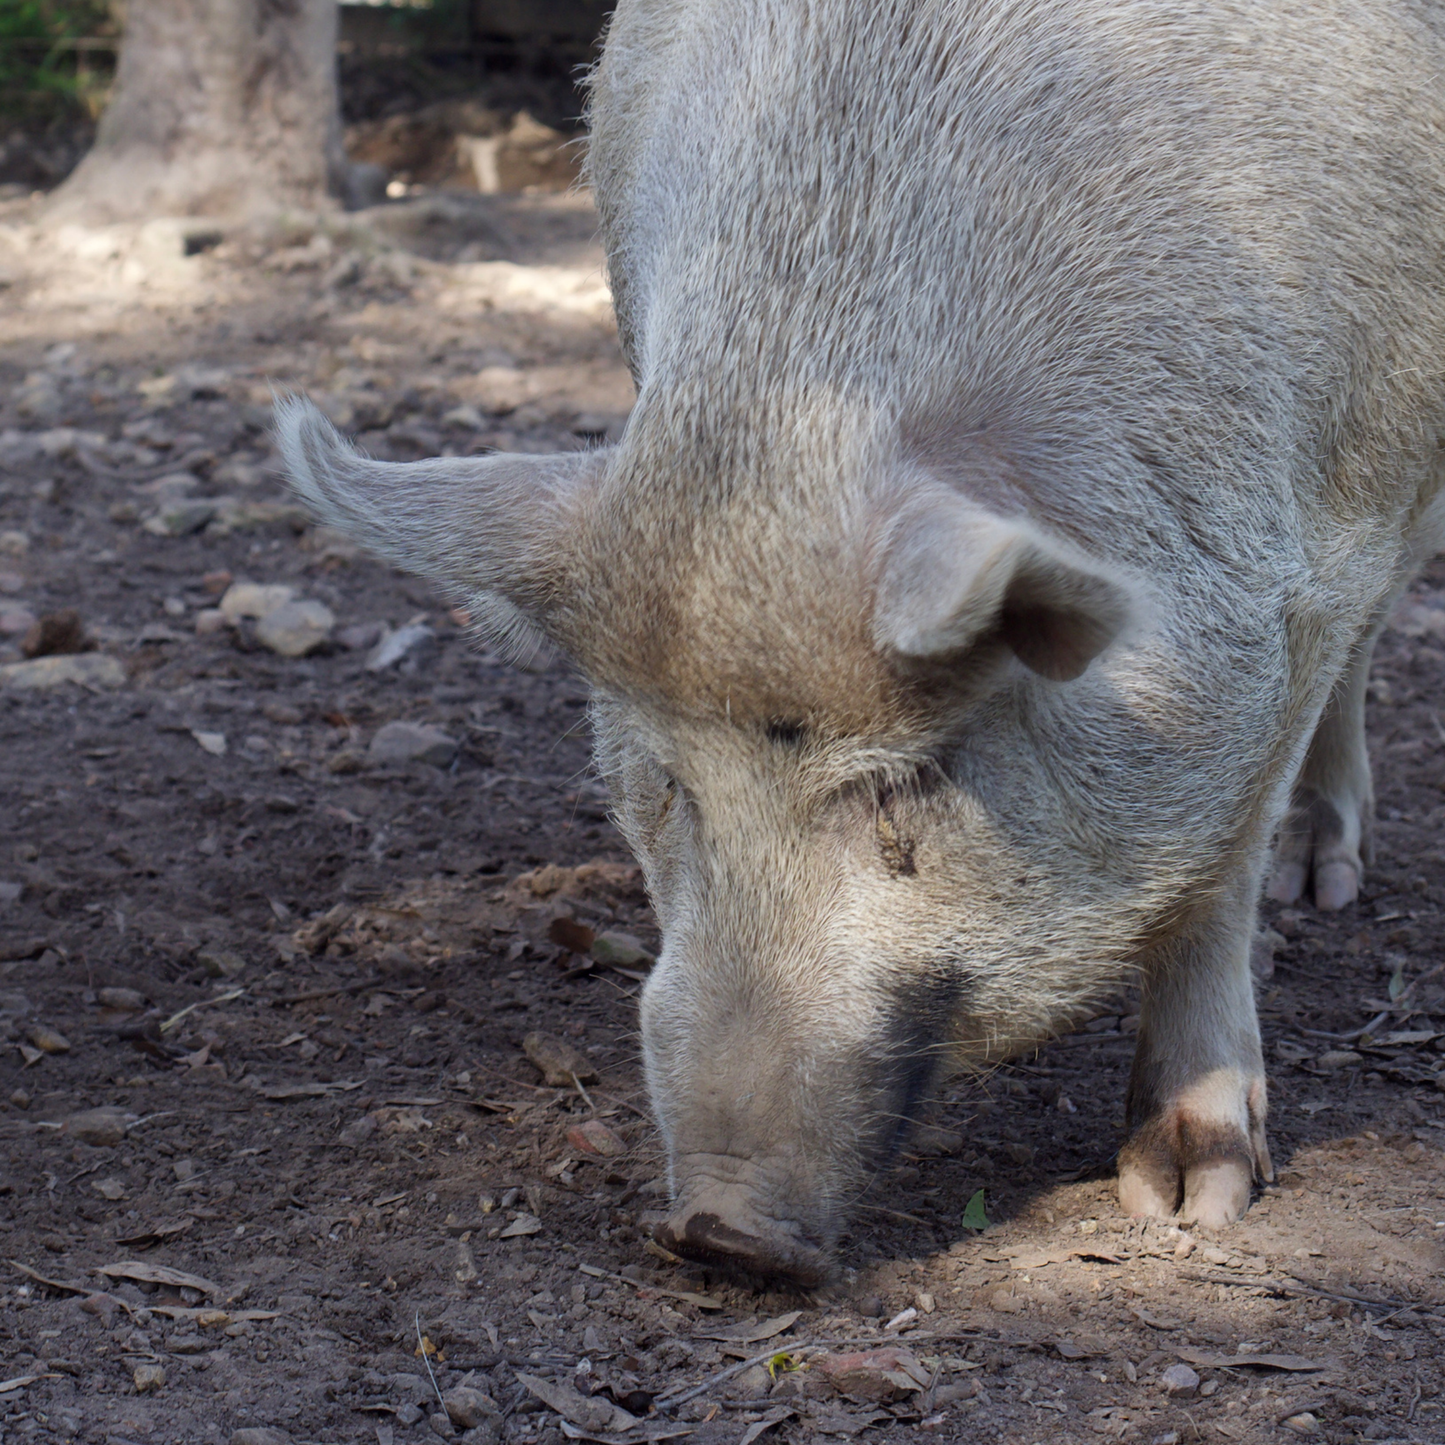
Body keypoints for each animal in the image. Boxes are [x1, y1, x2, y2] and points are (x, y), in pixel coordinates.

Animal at [280, 0, 1445, 1285]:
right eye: (668, 782)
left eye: (904, 781)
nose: (718, 1229)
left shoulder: (1315, 553)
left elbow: (1221, 866)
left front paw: (1189, 1203)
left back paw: (1322, 881)